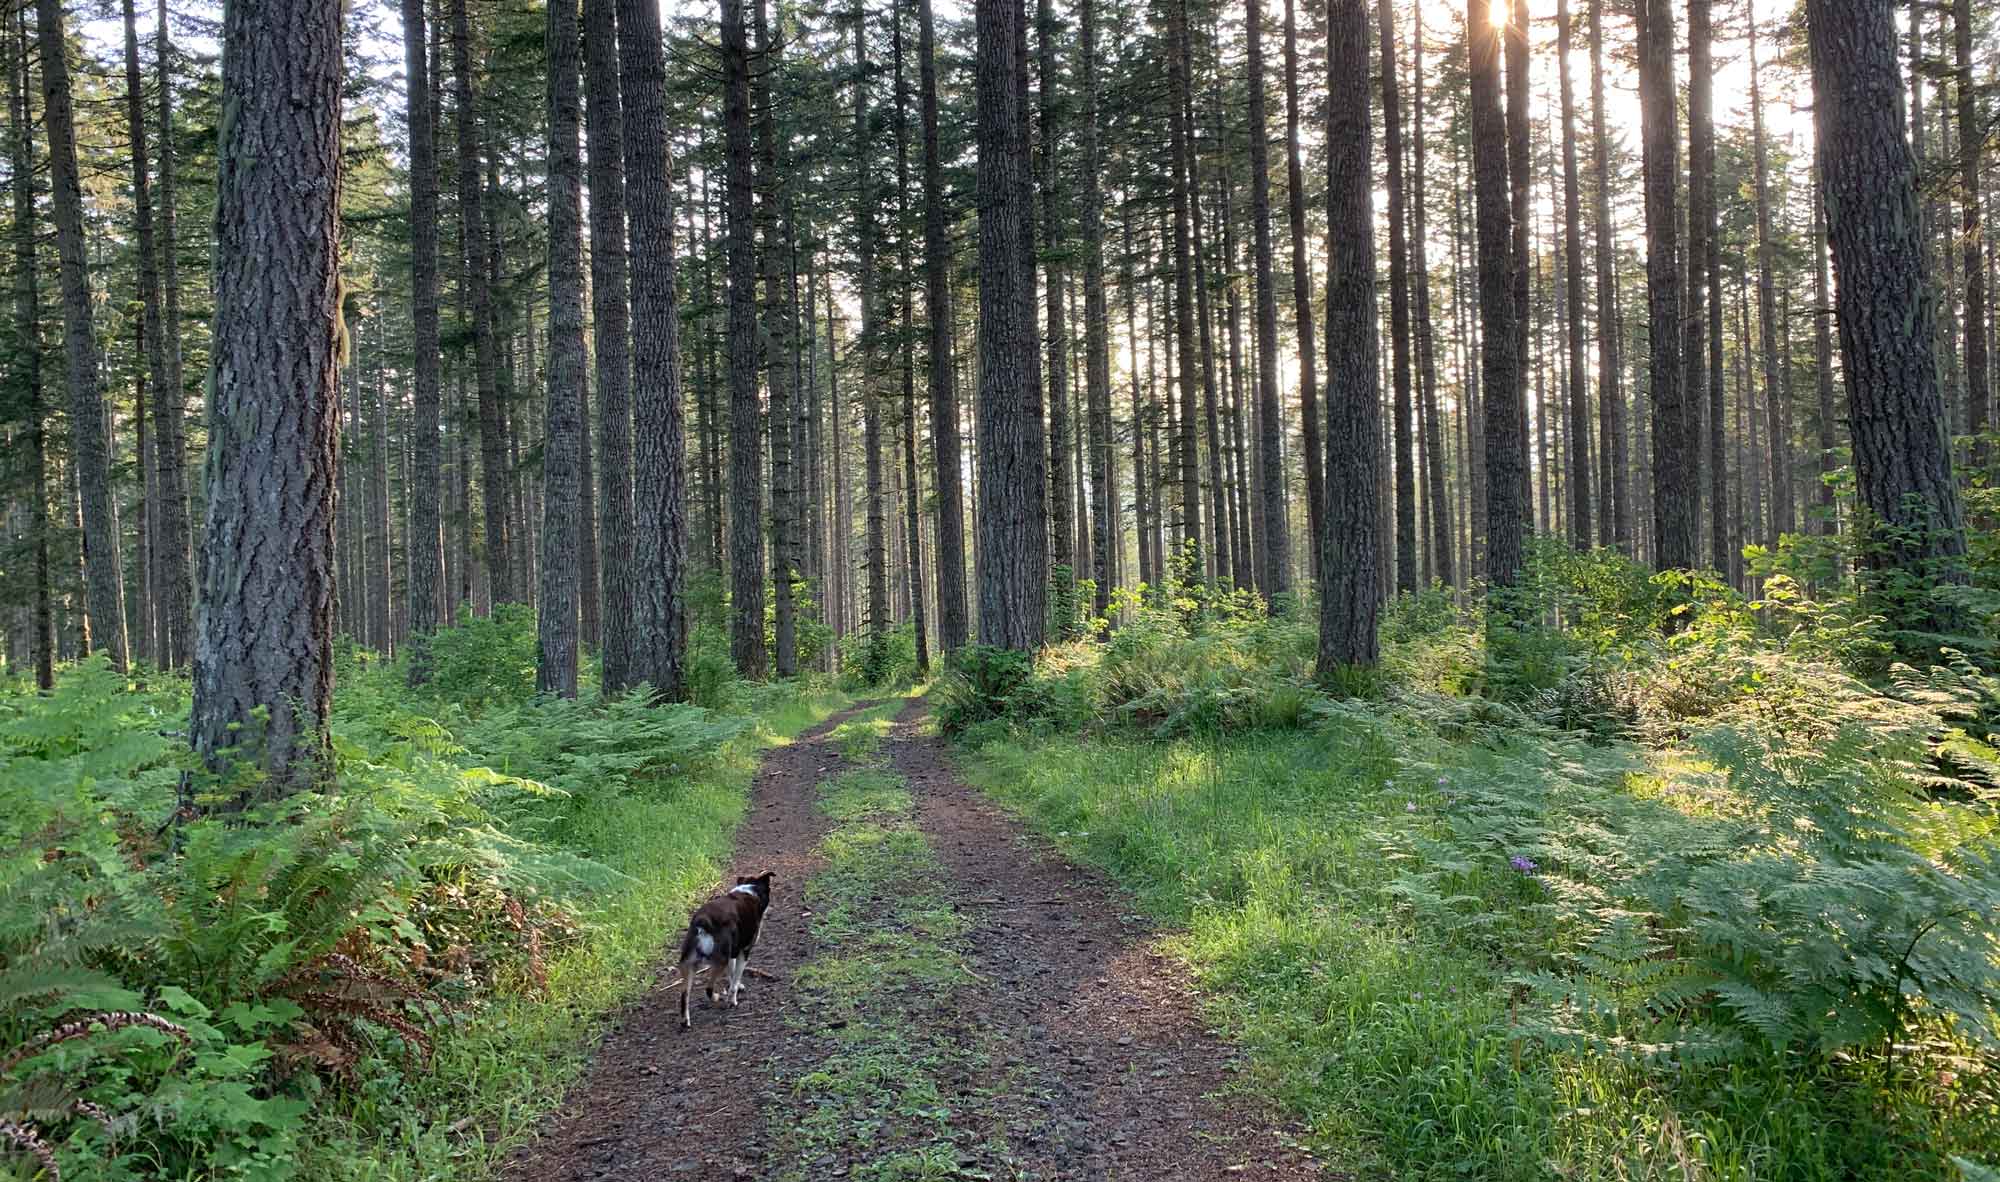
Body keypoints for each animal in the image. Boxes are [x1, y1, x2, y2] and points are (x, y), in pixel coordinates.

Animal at [672, 876, 764, 1032]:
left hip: (688, 966)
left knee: (684, 996)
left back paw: (685, 1022)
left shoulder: (733, 953)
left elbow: (732, 974)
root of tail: (703, 922)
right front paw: (733, 999)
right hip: (720, 961)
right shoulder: (744, 951)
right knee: (708, 988)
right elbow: (735, 977)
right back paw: (716, 997)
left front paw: (737, 986)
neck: (748, 892)